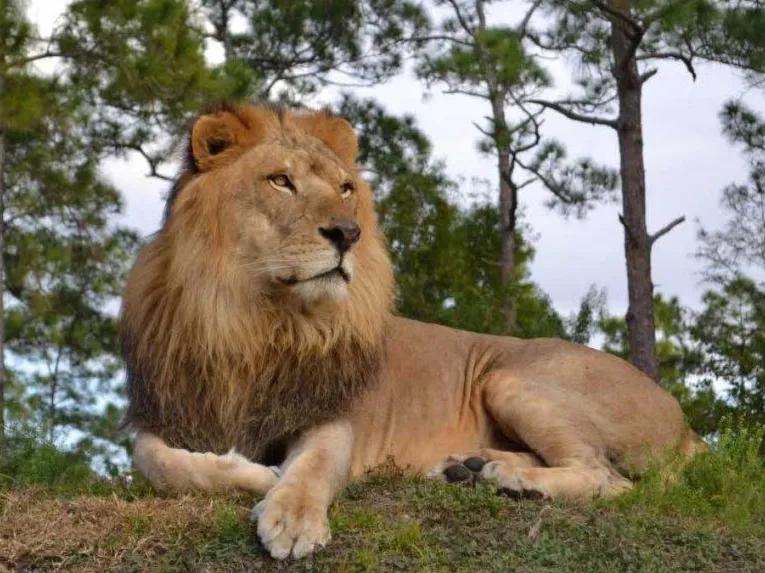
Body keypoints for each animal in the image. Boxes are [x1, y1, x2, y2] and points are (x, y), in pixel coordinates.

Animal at [121, 102, 705, 560]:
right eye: (280, 181)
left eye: (345, 189)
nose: (348, 233)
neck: (258, 322)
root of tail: (686, 425)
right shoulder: (168, 410)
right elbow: (155, 461)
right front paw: (256, 473)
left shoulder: (334, 416)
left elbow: (313, 466)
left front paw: (291, 513)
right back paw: (471, 466)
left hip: (511, 379)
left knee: (609, 477)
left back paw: (512, 480)